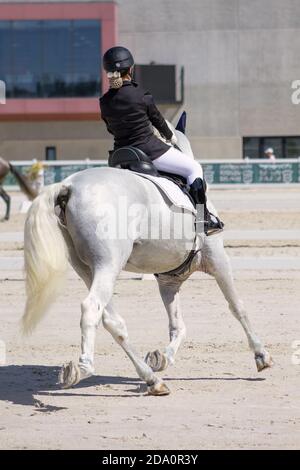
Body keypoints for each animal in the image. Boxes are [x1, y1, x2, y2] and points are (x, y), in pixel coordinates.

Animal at [22, 129, 274, 396]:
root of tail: (69, 186)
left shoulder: (168, 280)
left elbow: (178, 325)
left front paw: (161, 358)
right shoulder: (218, 260)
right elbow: (237, 307)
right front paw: (261, 356)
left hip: (88, 269)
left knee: (112, 320)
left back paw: (152, 379)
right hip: (108, 264)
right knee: (92, 308)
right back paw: (84, 368)